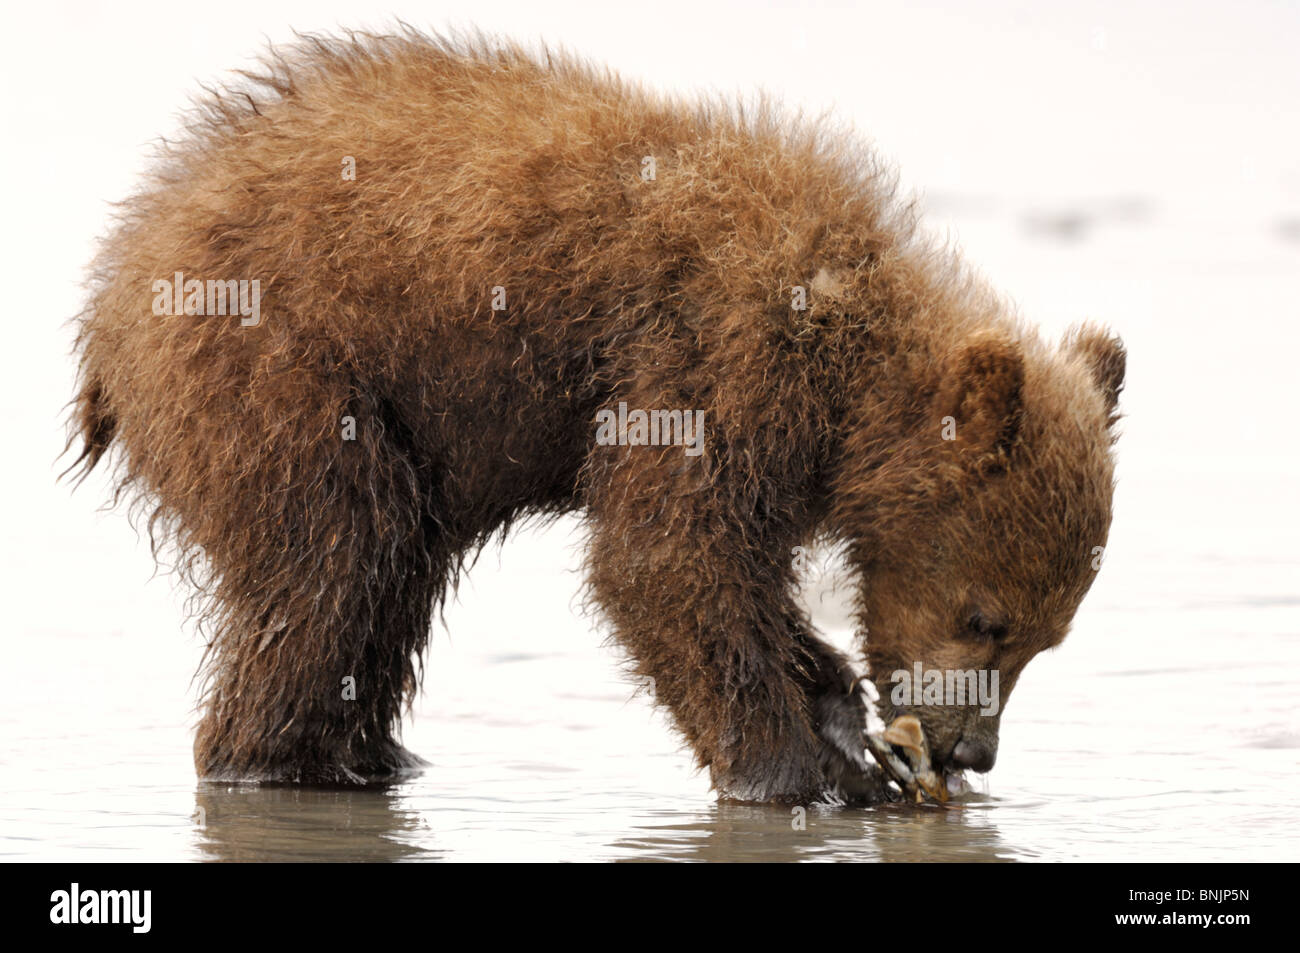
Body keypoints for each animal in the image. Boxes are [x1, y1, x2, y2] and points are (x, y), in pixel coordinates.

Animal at [67, 28, 1124, 803]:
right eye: (986, 617)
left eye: (1049, 634)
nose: (971, 751)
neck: (844, 373)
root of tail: (114, 287)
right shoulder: (711, 358)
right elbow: (665, 560)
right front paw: (809, 773)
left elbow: (728, 569)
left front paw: (831, 696)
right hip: (280, 373)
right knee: (335, 557)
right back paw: (271, 755)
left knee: (390, 574)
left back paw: (373, 755)